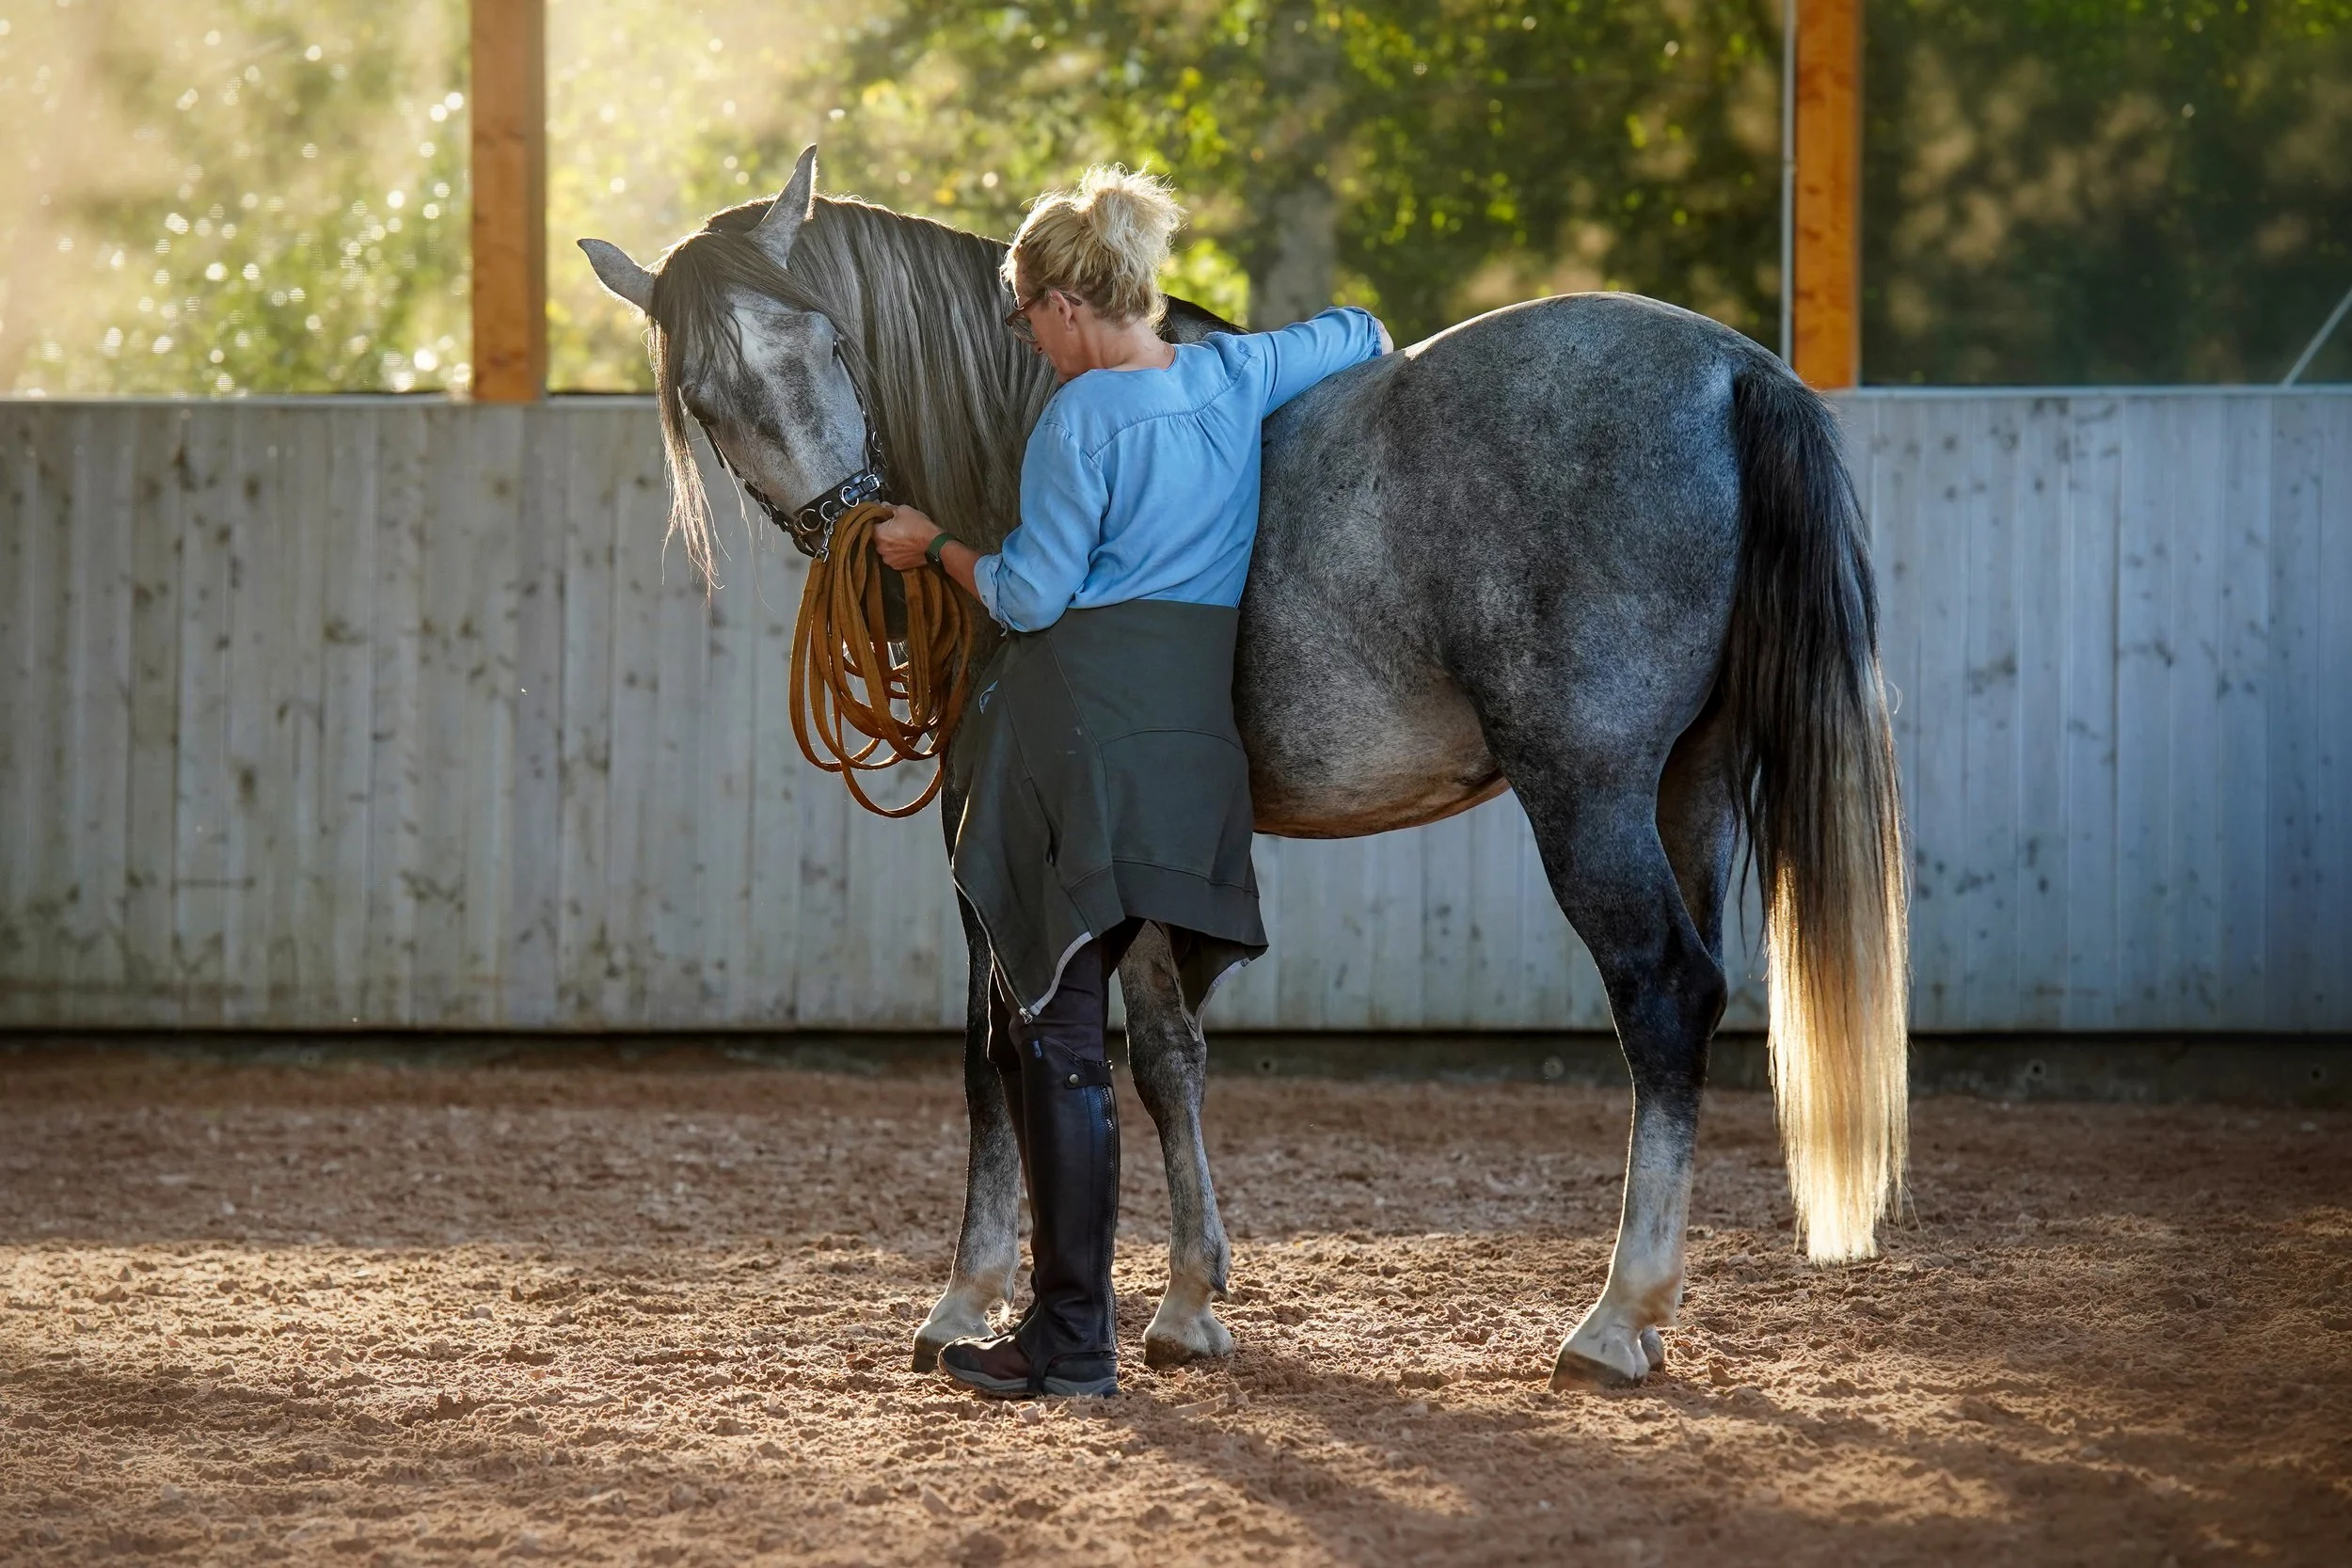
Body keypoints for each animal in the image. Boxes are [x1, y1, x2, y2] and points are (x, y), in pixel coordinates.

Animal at [580, 146, 1908, 1390]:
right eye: (704, 394)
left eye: (828, 339)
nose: (863, 523)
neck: (1012, 434)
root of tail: (1734, 370)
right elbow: (1166, 1051)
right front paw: (1180, 1300)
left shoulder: (995, 827)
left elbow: (1007, 1048)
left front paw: (972, 1299)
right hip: (1691, 786)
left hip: (1585, 794)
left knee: (1661, 993)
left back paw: (1613, 1318)